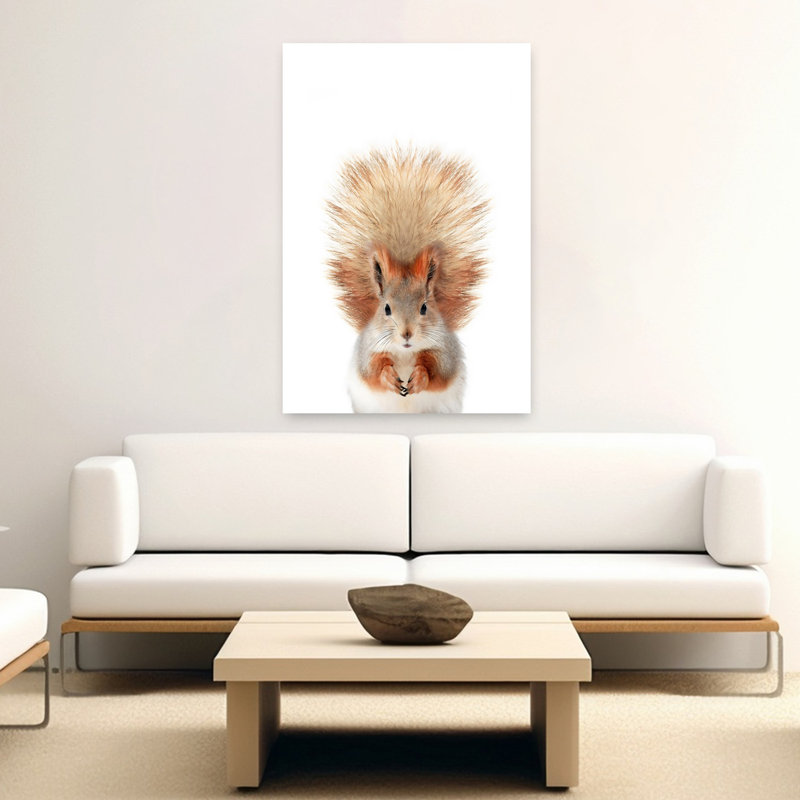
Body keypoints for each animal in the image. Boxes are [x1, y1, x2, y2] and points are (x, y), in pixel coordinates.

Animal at [326, 145, 489, 413]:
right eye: (386, 308)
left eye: (424, 307)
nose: (407, 334)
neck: (404, 353)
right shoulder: (368, 350)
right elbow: (372, 370)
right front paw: (388, 377)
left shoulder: (445, 350)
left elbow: (438, 370)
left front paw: (420, 377)